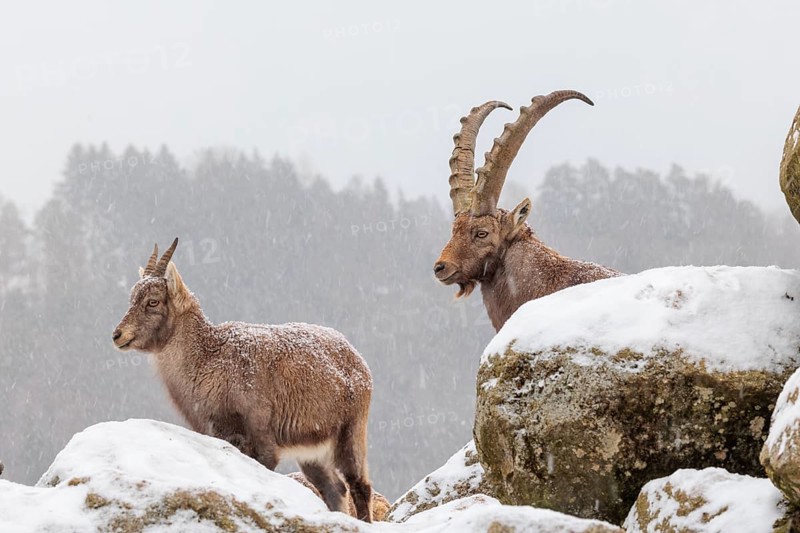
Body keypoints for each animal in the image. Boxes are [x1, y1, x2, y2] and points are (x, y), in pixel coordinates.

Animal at [112, 239, 374, 521]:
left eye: (153, 301)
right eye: (132, 298)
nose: (117, 335)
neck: (208, 359)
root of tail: (358, 359)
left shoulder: (262, 440)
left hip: (351, 431)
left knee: (359, 485)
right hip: (313, 453)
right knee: (334, 488)